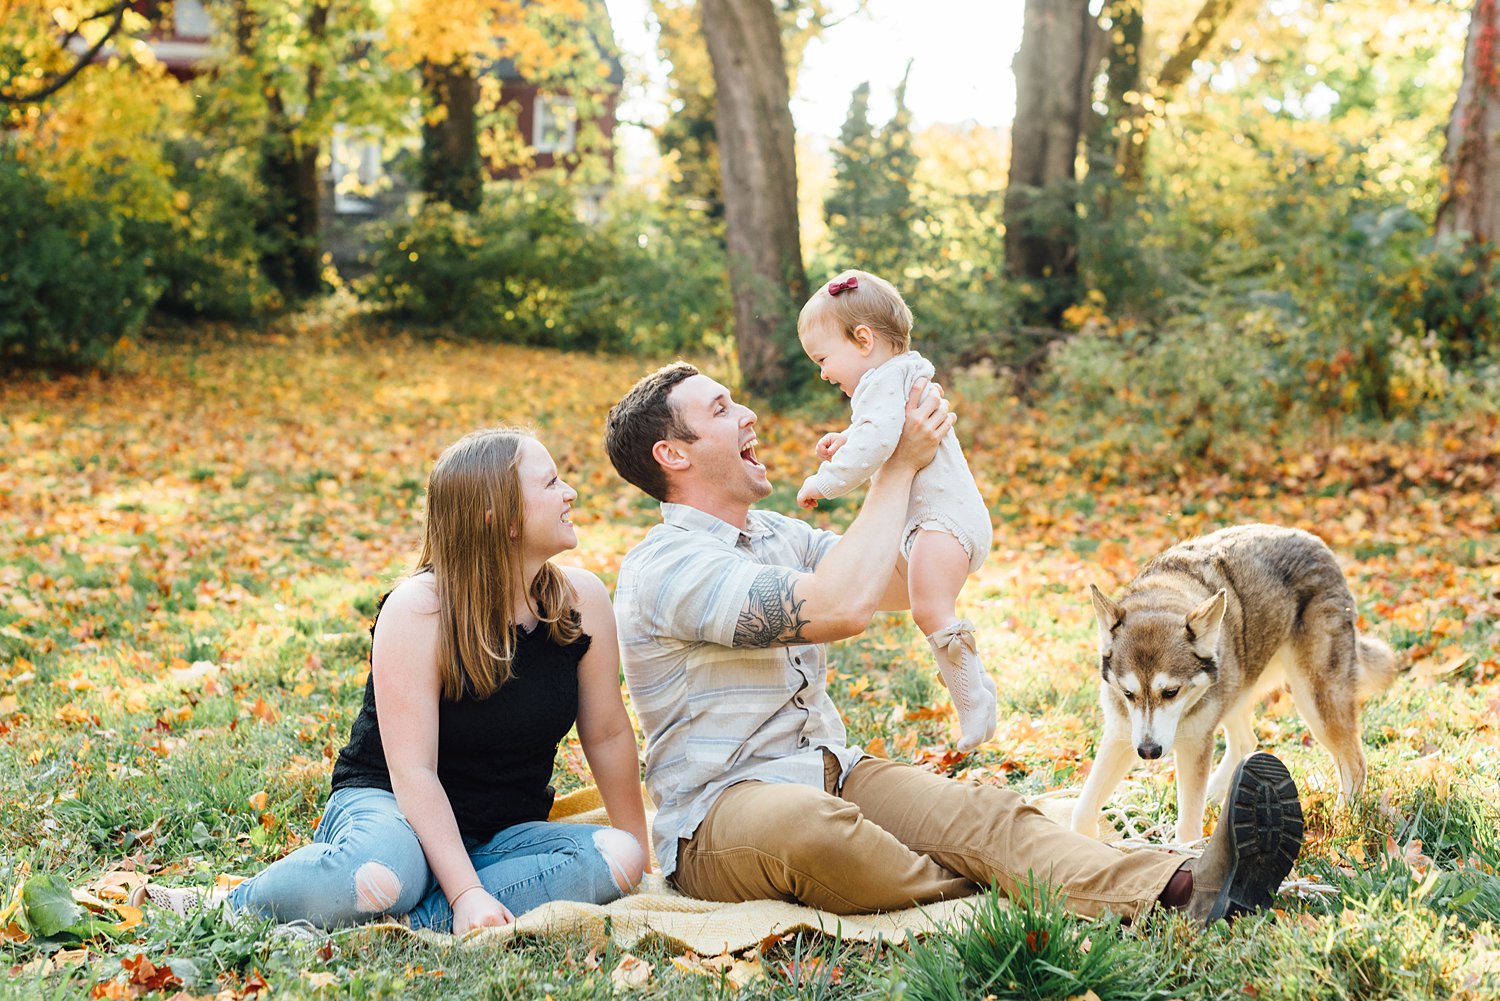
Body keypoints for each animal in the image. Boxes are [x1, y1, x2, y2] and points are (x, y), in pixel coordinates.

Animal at [1074, 525, 1398, 846]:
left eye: (1170, 692)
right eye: (1128, 693)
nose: (1149, 752)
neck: (1163, 595)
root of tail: (1315, 540)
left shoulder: (1195, 744)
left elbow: (1187, 830)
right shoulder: (1121, 735)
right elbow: (1083, 810)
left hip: (1314, 703)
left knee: (1355, 763)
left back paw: (1344, 822)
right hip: (1239, 691)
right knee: (1247, 742)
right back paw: (1218, 794)